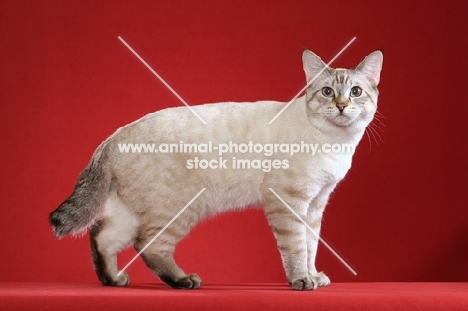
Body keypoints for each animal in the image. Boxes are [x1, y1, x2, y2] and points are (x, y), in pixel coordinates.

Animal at [49, 48, 382, 290]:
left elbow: (311, 244)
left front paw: (314, 276)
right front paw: (302, 281)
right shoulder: (289, 201)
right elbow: (297, 246)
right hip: (181, 207)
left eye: (355, 92)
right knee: (146, 244)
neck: (337, 143)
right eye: (327, 92)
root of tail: (113, 136)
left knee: (102, 235)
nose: (341, 105)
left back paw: (114, 281)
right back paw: (184, 281)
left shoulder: (315, 204)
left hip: (133, 210)